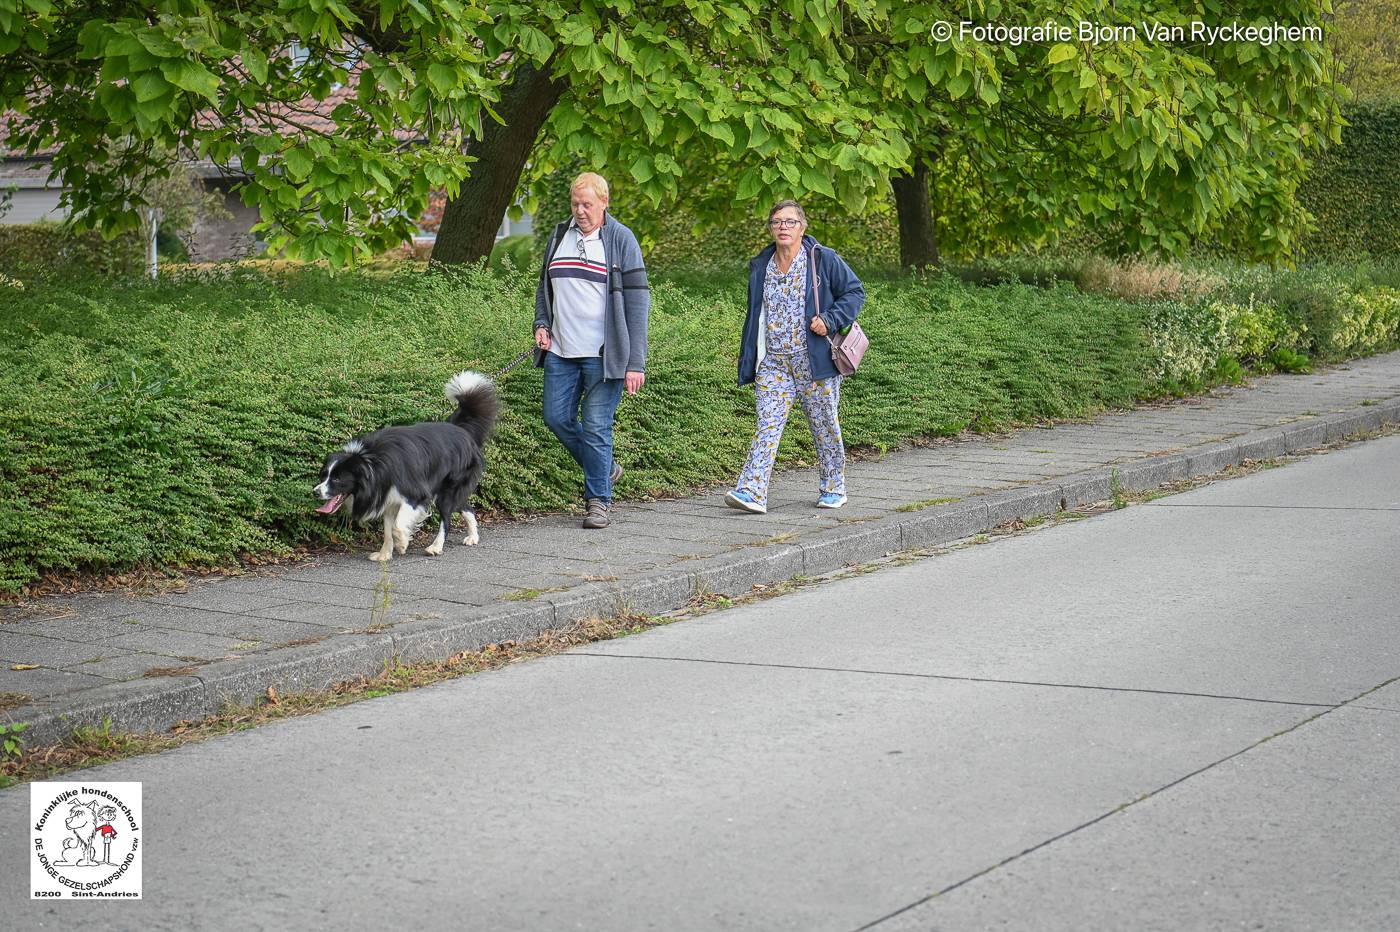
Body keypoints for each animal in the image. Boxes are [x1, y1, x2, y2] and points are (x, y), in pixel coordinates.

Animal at [315, 369, 501, 559]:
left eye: (337, 479)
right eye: (324, 475)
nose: (315, 492)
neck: (371, 464)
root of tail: (461, 429)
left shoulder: (415, 494)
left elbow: (397, 526)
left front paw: (402, 543)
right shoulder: (388, 498)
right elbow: (387, 529)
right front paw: (384, 554)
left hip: (450, 487)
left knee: (447, 518)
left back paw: (436, 546)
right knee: (467, 507)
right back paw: (473, 536)